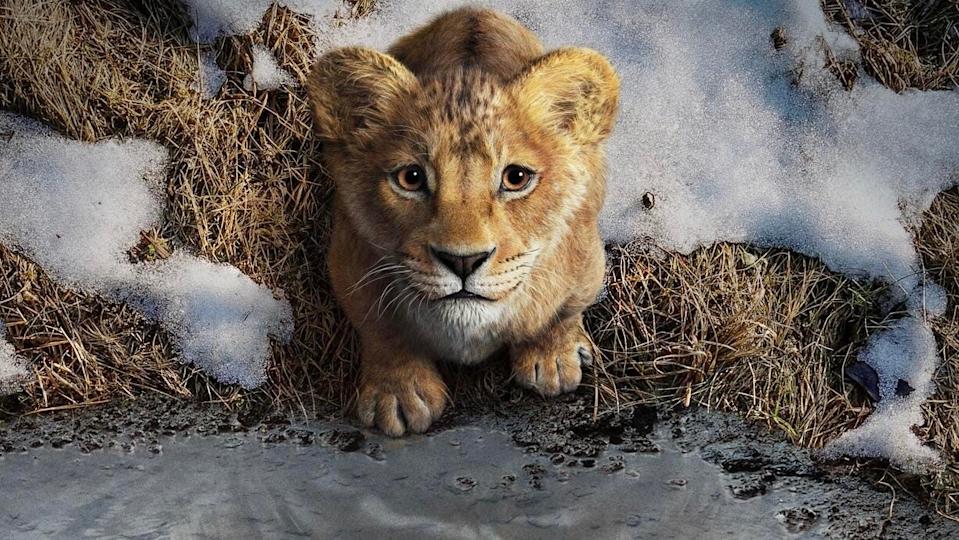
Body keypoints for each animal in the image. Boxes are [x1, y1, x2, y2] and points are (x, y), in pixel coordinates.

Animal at [307, 7, 620, 436]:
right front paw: (398, 393)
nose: (463, 261)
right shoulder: (349, 260)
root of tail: (474, 10)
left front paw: (552, 358)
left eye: (516, 178)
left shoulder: (586, 260)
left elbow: (562, 312)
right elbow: (381, 328)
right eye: (411, 178)